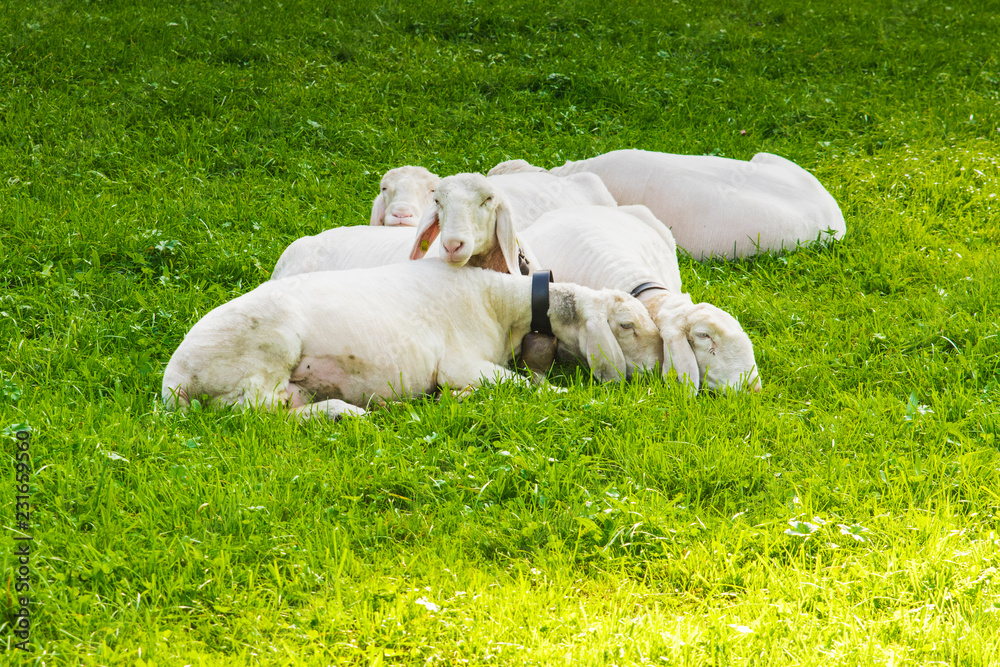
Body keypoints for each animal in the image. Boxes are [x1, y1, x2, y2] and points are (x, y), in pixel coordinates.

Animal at [162, 260, 664, 419]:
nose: (658, 372)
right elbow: (529, 388)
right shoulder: (460, 362)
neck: (498, 304)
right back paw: (343, 411)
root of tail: (174, 380)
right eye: (627, 326)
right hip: (265, 350)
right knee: (254, 412)